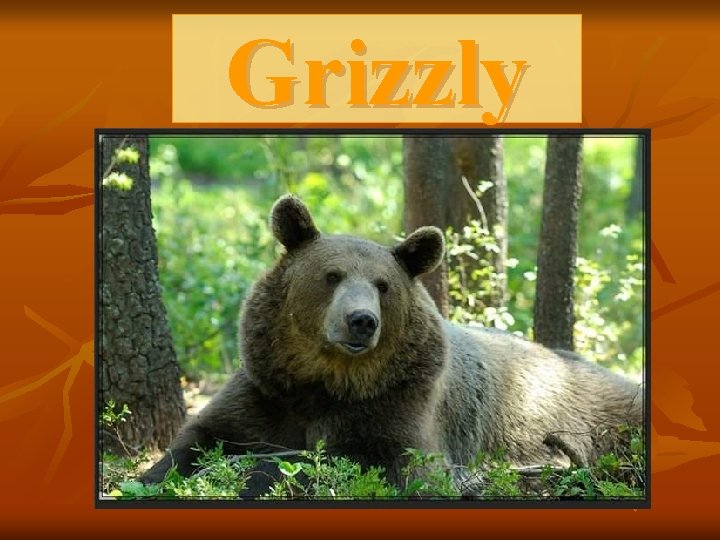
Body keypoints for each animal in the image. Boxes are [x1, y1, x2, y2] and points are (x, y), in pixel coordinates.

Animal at [140, 194, 644, 496]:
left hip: (603, 420)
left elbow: (374, 460)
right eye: (332, 275)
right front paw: (158, 475)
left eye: (383, 285)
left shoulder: (401, 402)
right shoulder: (267, 389)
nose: (360, 321)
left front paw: (258, 472)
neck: (325, 381)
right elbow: (200, 439)